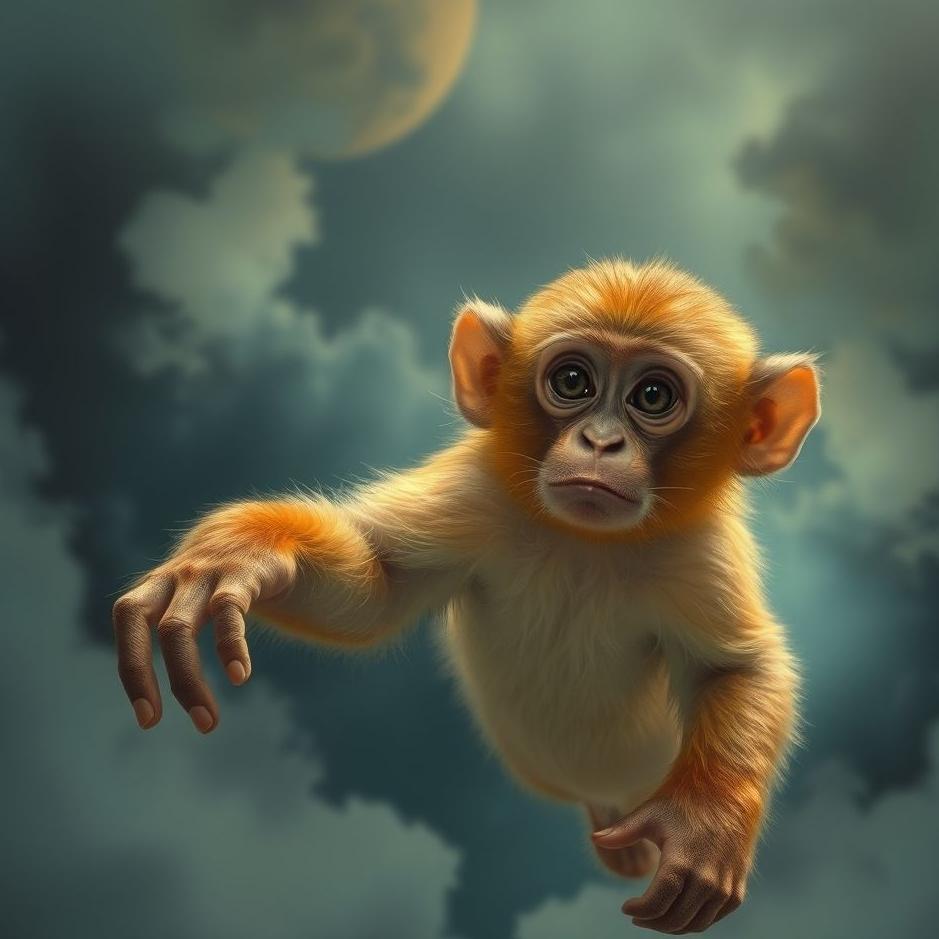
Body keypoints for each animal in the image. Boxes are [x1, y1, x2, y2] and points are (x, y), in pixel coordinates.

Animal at [113, 258, 820, 934]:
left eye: (652, 395)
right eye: (572, 382)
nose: (600, 442)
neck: (584, 543)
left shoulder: (701, 551)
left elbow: (738, 668)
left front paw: (703, 828)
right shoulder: (477, 491)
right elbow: (379, 585)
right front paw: (246, 551)